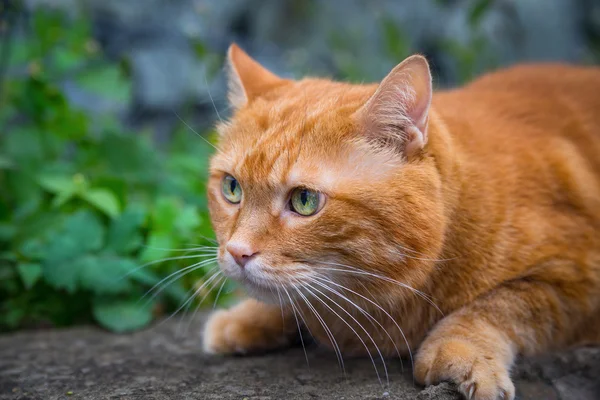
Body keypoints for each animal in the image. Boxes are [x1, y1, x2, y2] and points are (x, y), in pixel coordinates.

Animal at [203, 44, 600, 400]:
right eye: (232, 188)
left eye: (304, 201)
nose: (237, 252)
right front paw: (248, 317)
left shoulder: (576, 283)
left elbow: (502, 304)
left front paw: (461, 352)